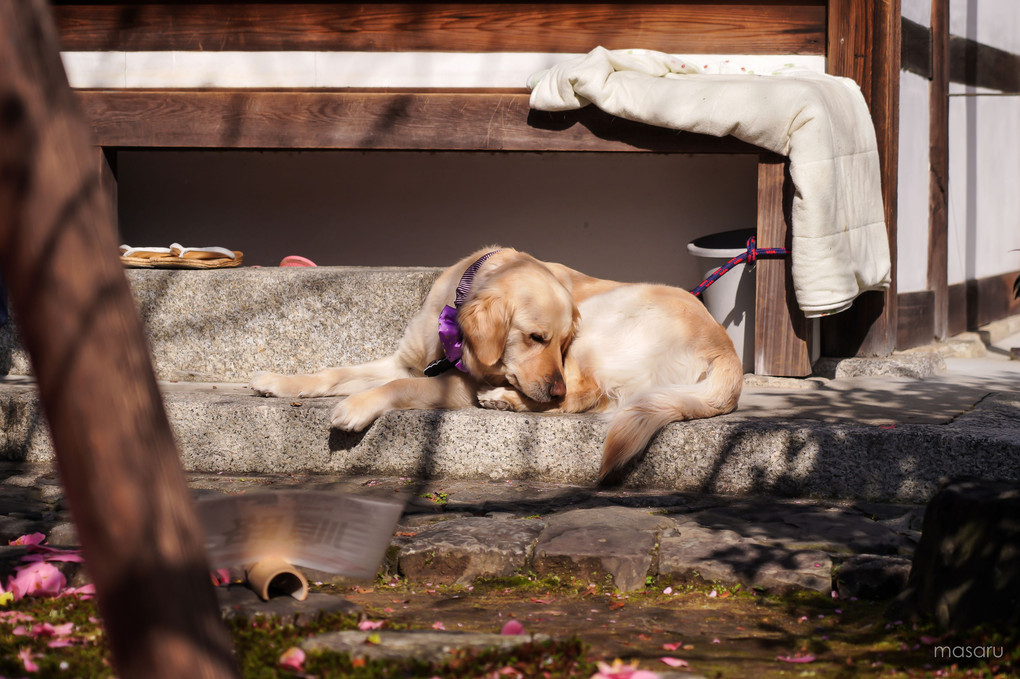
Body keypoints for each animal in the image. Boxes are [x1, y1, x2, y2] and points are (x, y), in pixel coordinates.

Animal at [248, 247, 742, 475]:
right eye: (536, 338)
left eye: (562, 342)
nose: (554, 382)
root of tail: (728, 355)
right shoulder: (406, 360)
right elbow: (336, 371)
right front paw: (279, 381)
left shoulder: (453, 383)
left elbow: (395, 388)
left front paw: (355, 407)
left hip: (606, 322)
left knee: (584, 397)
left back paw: (505, 398)